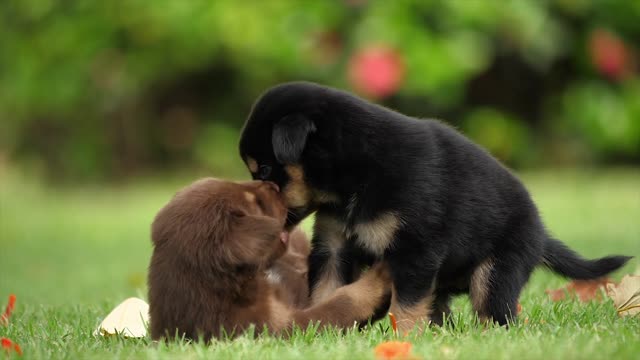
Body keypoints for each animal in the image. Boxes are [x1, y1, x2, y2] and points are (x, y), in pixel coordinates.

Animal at [239, 81, 632, 332]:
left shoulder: (415, 250)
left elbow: (405, 307)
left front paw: (405, 340)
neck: (354, 177)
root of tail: (541, 232)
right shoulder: (334, 246)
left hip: (497, 271)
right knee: (443, 310)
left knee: (495, 314)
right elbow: (327, 291)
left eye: (266, 170)